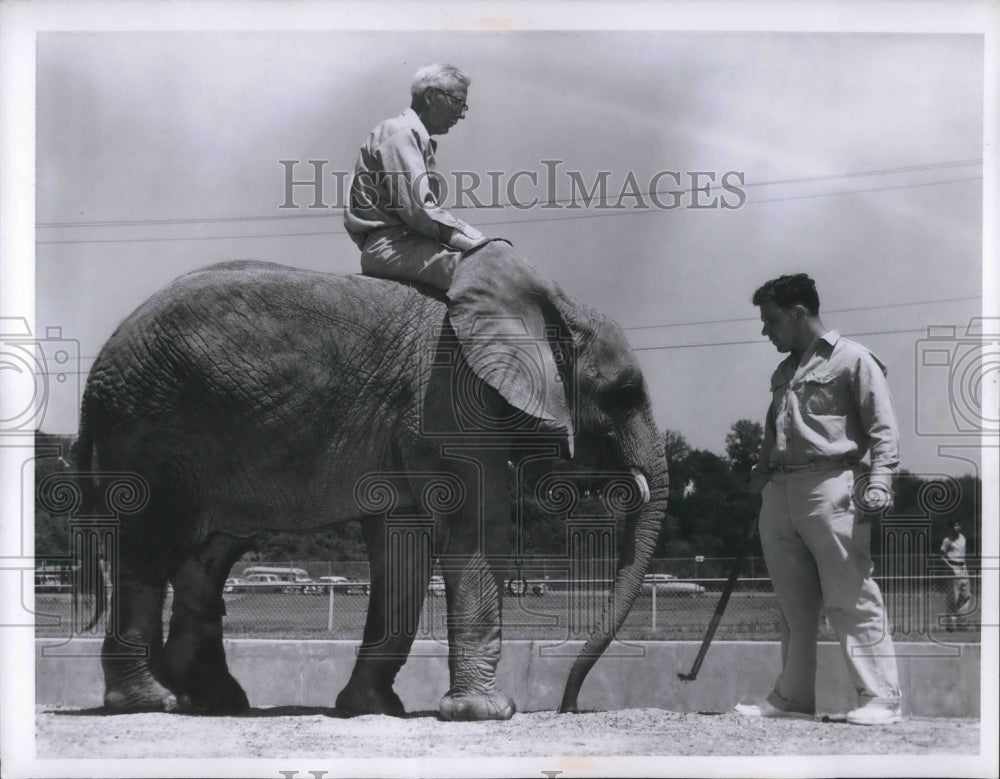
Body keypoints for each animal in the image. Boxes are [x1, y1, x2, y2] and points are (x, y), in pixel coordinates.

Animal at [76, 241, 668, 720]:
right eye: (623, 394)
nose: (568, 707)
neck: (550, 305)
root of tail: (98, 363)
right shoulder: (446, 401)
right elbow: (474, 530)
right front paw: (488, 713)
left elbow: (401, 551)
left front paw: (372, 708)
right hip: (150, 430)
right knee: (148, 551)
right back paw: (151, 702)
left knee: (207, 559)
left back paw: (213, 702)